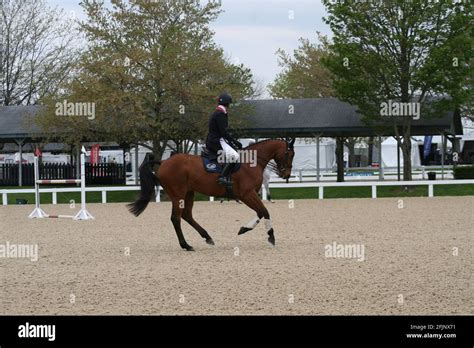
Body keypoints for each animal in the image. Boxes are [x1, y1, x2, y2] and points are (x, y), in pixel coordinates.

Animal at [128, 139, 294, 250]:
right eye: (288, 153)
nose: (286, 174)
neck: (251, 162)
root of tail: (163, 162)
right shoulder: (247, 194)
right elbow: (264, 211)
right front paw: (270, 236)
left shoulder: (249, 195)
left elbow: (260, 212)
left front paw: (244, 229)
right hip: (178, 195)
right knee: (176, 218)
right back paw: (186, 245)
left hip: (189, 193)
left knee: (186, 215)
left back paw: (207, 237)